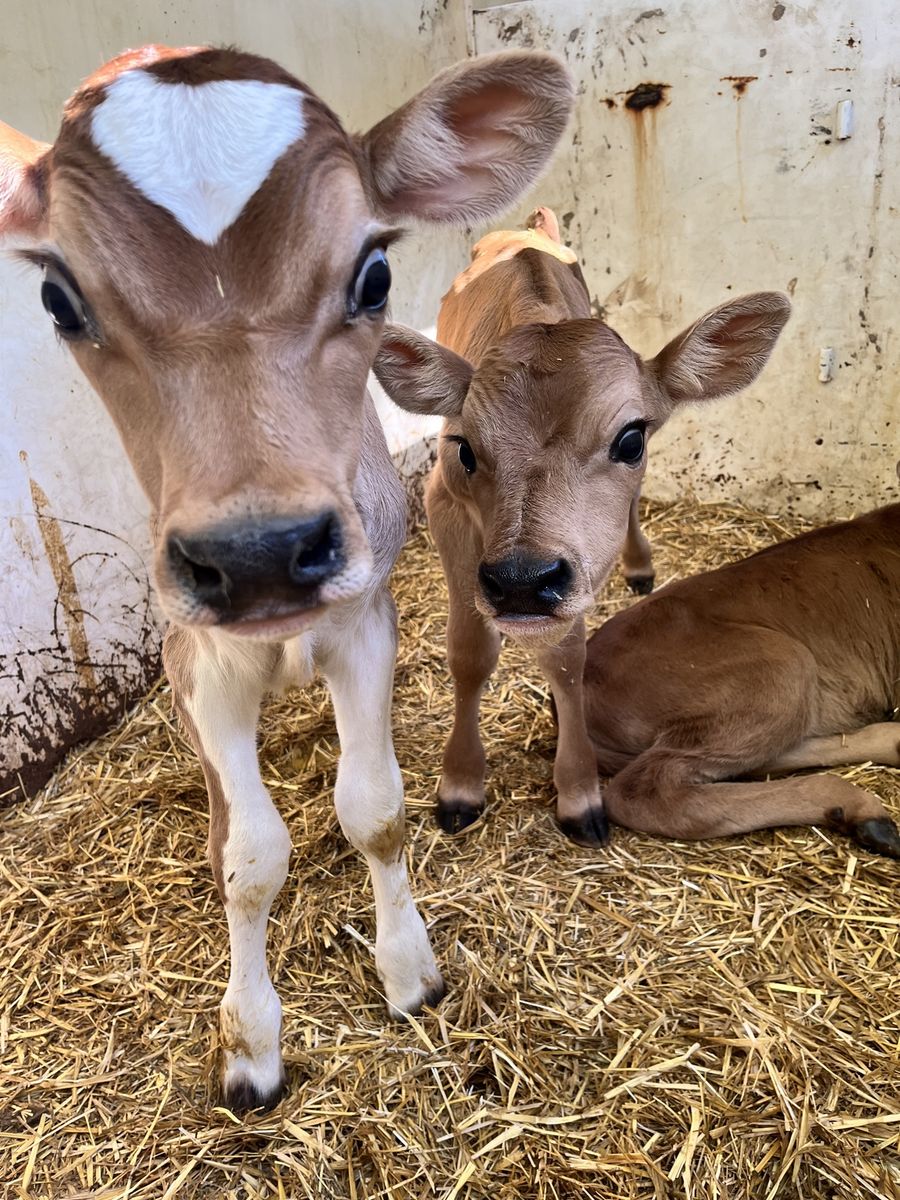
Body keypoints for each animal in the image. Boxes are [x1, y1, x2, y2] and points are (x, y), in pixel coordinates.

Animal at [0, 44, 575, 1110]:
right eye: (59, 299)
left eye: (375, 272)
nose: (260, 552)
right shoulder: (201, 661)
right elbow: (250, 859)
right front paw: (251, 1043)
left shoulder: (366, 625)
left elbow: (376, 811)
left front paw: (408, 972)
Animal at [373, 209, 790, 847]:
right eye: (464, 448)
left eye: (631, 439)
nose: (521, 581)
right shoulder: (443, 503)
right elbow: (470, 652)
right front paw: (461, 783)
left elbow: (569, 660)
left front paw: (578, 793)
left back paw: (639, 565)